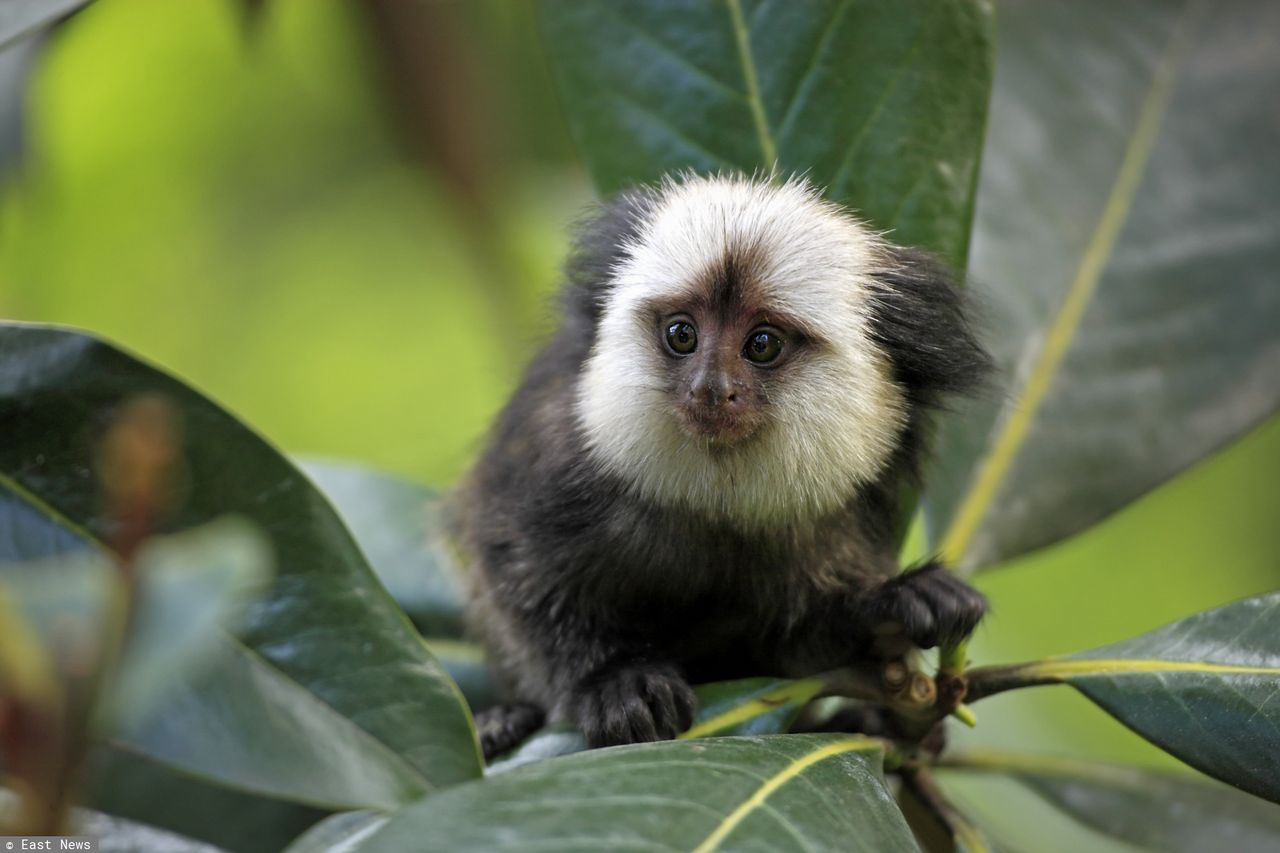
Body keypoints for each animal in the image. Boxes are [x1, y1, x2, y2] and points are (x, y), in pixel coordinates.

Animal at [450, 172, 988, 758]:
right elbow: (515, 570)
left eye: (763, 344)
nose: (711, 388)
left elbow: (798, 642)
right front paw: (613, 677)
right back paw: (501, 723)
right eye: (682, 334)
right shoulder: (554, 455)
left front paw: (888, 616)